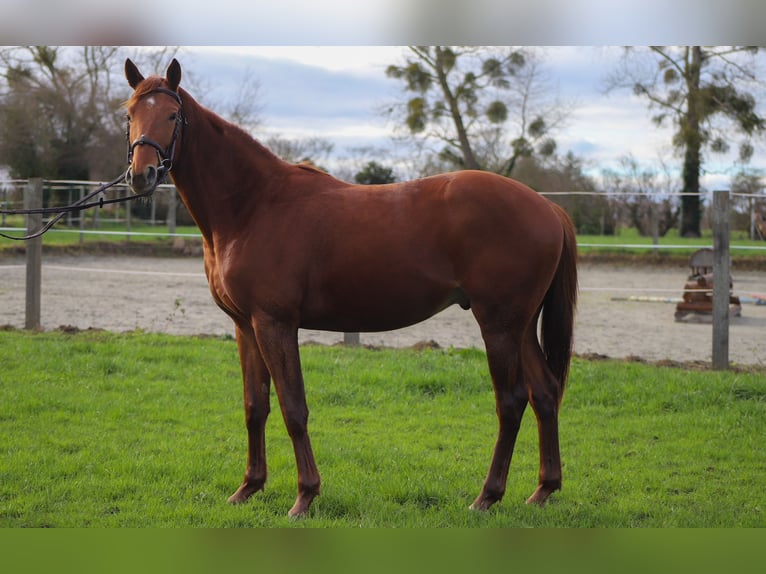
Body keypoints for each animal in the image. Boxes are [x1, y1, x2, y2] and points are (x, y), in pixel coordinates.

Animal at [124, 60, 576, 520]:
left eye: (172, 116)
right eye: (129, 115)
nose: (141, 174)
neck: (253, 205)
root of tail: (547, 206)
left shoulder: (275, 323)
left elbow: (293, 407)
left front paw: (305, 496)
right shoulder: (245, 326)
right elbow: (255, 406)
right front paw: (248, 488)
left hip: (499, 325)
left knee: (511, 401)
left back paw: (488, 495)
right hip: (520, 326)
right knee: (544, 393)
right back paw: (543, 489)